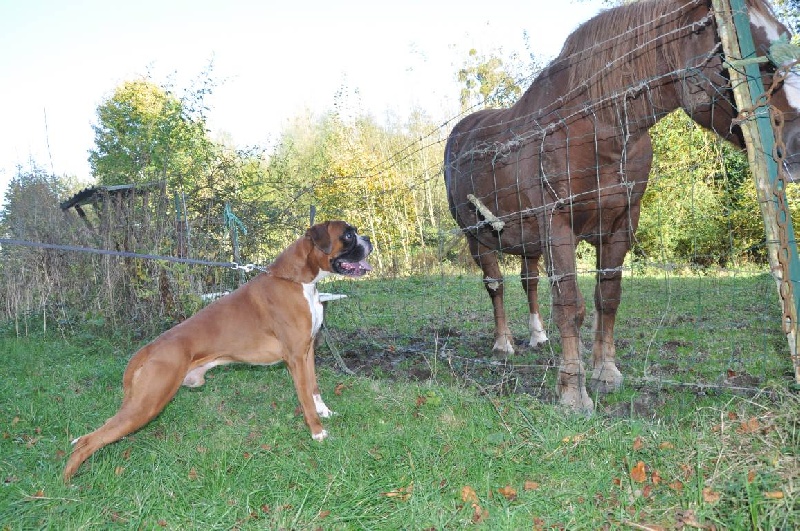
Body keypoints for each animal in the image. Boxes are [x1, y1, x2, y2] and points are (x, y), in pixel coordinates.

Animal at [64, 220, 374, 482]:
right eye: (348, 235)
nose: (369, 239)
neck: (297, 280)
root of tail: (149, 348)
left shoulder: (307, 352)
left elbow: (314, 388)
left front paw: (325, 412)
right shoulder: (295, 358)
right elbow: (305, 399)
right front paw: (317, 432)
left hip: (138, 403)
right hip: (148, 404)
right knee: (92, 440)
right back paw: (68, 482)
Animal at [444, 0, 800, 414]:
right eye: (738, 51)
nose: (796, 144)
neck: (595, 128)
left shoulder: (620, 225)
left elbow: (607, 299)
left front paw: (605, 373)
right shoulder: (557, 227)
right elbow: (570, 305)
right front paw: (573, 393)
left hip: (528, 243)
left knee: (528, 283)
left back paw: (536, 336)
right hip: (478, 237)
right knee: (495, 285)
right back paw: (503, 344)